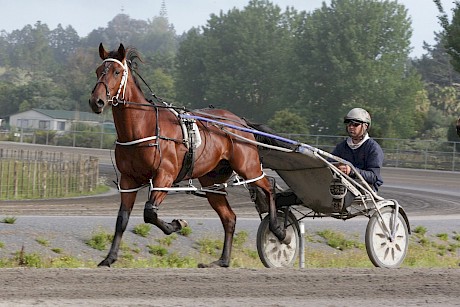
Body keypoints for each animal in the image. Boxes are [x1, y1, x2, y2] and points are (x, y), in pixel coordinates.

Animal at [88, 42, 288, 268]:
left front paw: (177, 224)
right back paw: (222, 261)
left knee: (268, 187)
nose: (97, 101)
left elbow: (149, 212)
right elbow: (122, 219)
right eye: (98, 71)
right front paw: (109, 258)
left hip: (248, 166)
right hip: (212, 181)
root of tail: (240, 121)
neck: (143, 127)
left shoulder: (164, 176)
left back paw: (278, 229)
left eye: (116, 71)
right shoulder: (128, 179)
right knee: (229, 218)